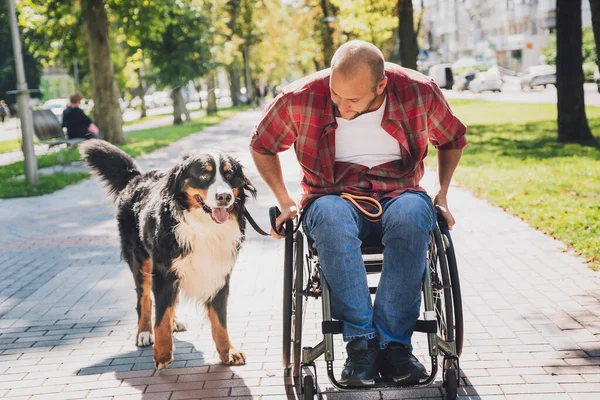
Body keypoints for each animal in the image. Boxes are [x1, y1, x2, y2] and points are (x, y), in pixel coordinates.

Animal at [79, 140, 255, 368]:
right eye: (204, 175)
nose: (224, 197)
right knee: (144, 299)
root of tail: (137, 177)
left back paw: (174, 321)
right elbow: (160, 317)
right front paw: (162, 353)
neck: (203, 227)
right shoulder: (163, 271)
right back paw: (144, 332)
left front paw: (228, 352)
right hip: (141, 261)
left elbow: (220, 319)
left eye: (229, 173)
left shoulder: (218, 273)